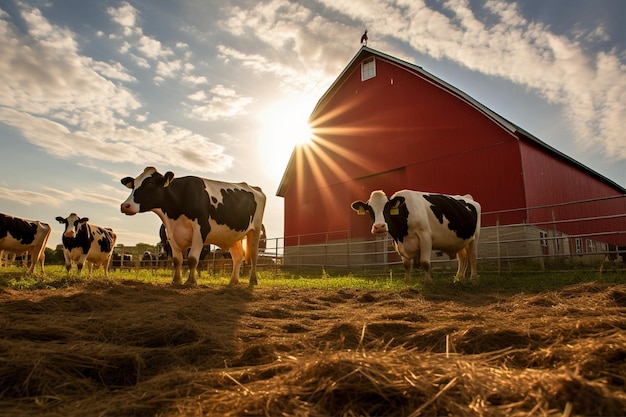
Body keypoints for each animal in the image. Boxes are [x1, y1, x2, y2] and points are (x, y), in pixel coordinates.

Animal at [120, 166, 264, 286]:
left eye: (150, 183)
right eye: (133, 185)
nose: (125, 206)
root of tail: (255, 188)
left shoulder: (200, 230)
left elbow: (192, 259)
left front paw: (191, 281)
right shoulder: (170, 234)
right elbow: (177, 260)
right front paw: (176, 280)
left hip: (255, 230)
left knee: (254, 256)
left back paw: (253, 280)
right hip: (232, 235)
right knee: (238, 256)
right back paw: (233, 281)